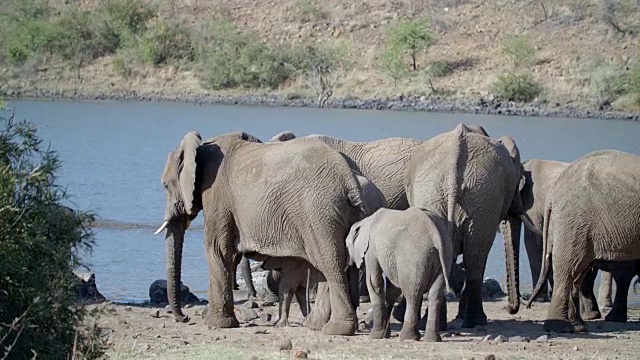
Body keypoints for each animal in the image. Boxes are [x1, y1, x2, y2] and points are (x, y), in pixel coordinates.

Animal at [152, 130, 368, 334]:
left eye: (165, 185)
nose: (185, 318)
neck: (202, 146)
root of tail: (349, 179)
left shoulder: (216, 195)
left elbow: (217, 250)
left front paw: (217, 324)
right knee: (344, 264)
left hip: (319, 212)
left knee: (330, 264)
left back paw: (336, 329)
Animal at [344, 207, 456, 342]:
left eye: (346, 246)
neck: (366, 221)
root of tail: (435, 234)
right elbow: (393, 289)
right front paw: (384, 334)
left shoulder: (371, 248)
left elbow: (374, 282)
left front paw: (375, 336)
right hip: (445, 255)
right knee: (435, 295)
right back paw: (432, 339)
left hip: (414, 258)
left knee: (413, 295)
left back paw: (408, 337)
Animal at [404, 124, 540, 330]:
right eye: (517, 183)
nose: (511, 309)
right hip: (479, 198)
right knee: (476, 257)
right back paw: (476, 321)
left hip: (447, 197)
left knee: (465, 255)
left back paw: (437, 323)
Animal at [528, 149, 640, 332]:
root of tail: (554, 191)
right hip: (575, 222)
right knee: (569, 268)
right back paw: (559, 327)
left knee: (578, 272)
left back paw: (578, 326)